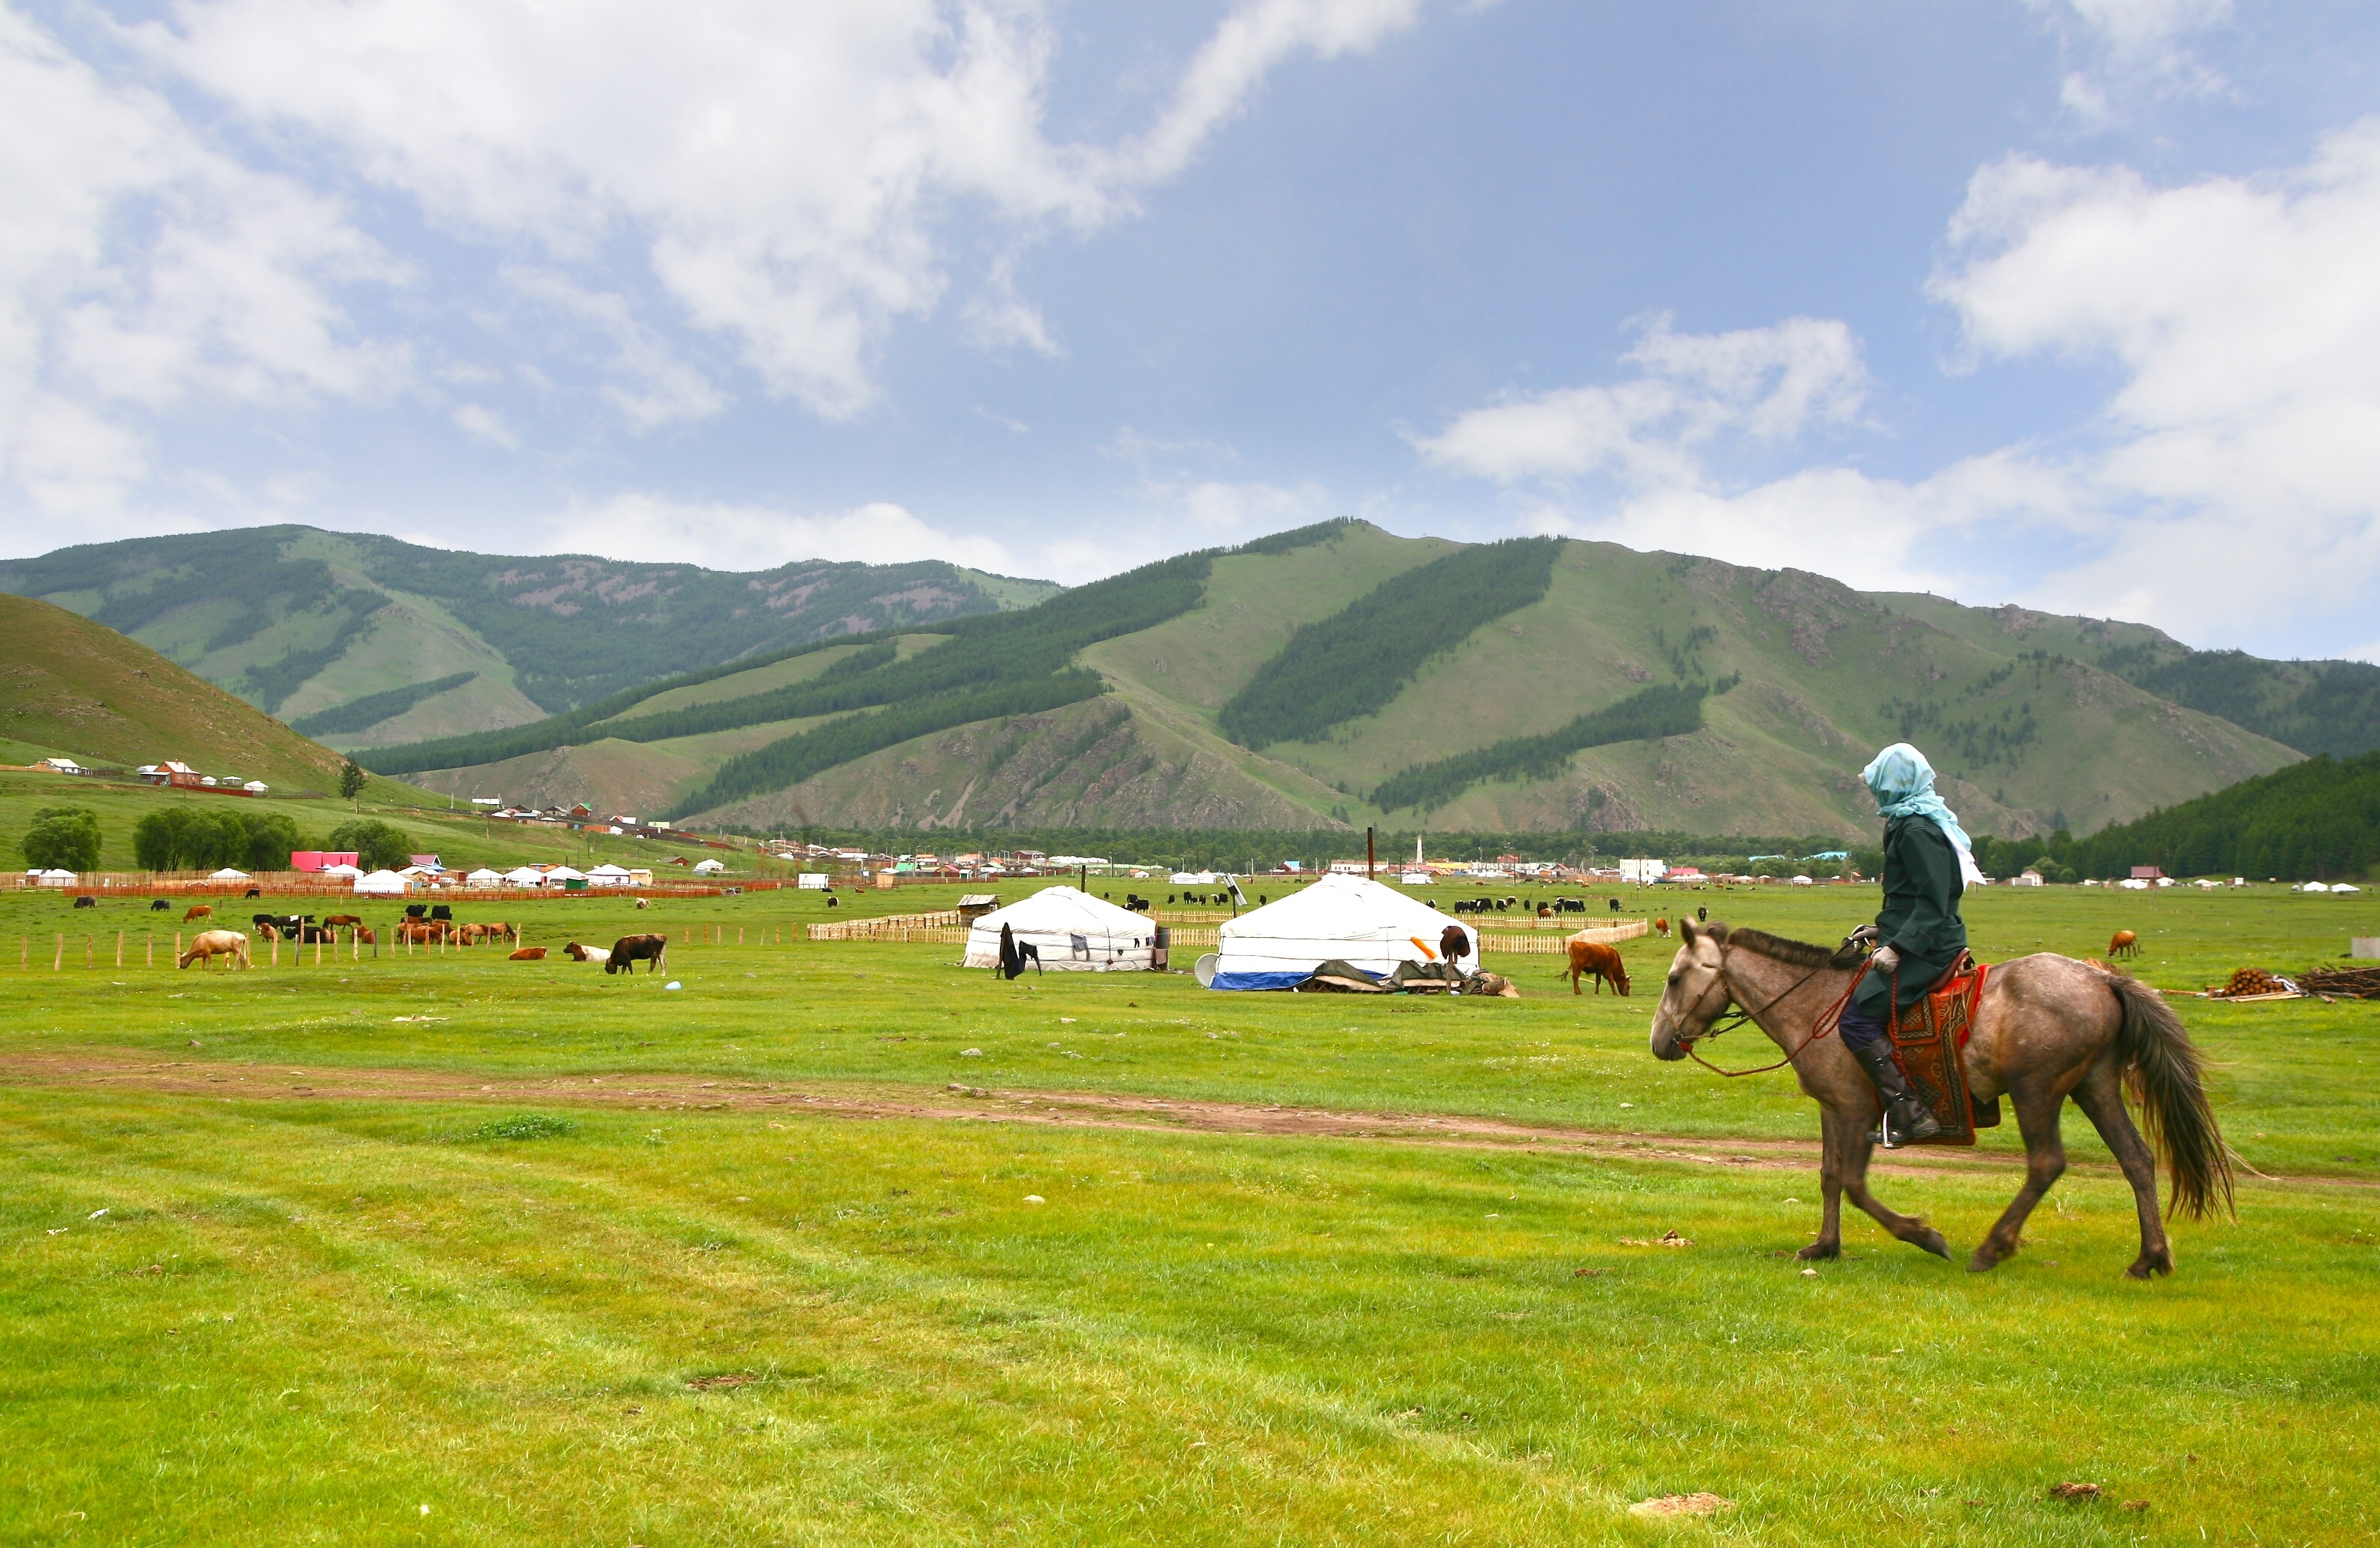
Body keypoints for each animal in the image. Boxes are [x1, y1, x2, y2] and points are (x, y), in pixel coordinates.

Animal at [1647, 924, 2237, 1276]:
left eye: (1675, 978)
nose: (1659, 1042)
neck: (1817, 1005)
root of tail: (2102, 980)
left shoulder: (1859, 1109)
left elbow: (1854, 1183)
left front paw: (1924, 1236)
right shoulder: (1833, 1108)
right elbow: (1830, 1177)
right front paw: (1824, 1247)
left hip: (2038, 1090)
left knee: (2047, 1162)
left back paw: (1993, 1248)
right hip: (2094, 1085)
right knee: (2137, 1159)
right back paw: (2150, 1258)